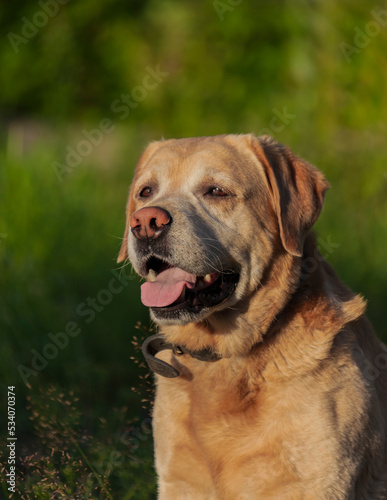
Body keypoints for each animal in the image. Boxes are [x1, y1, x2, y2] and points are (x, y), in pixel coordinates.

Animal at [118, 135, 387, 498]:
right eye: (146, 192)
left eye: (216, 191)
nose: (145, 222)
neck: (225, 355)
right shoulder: (179, 480)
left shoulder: (316, 483)